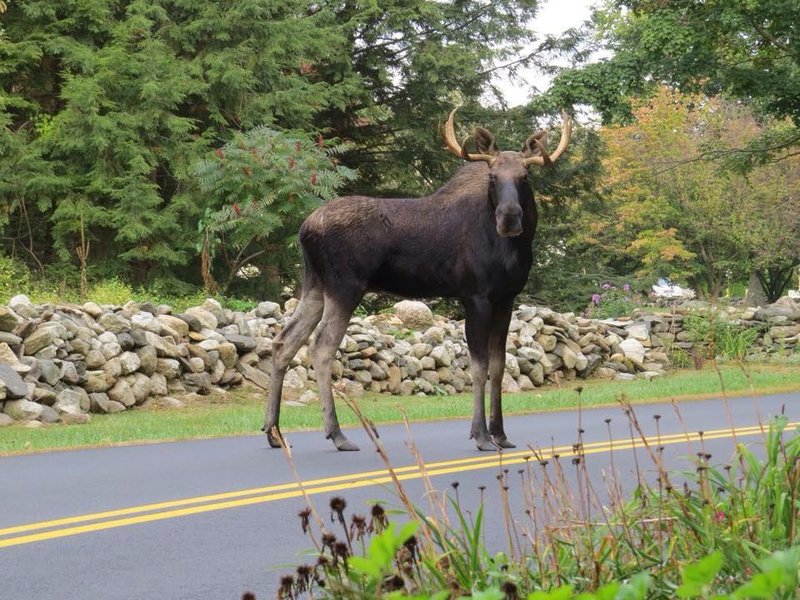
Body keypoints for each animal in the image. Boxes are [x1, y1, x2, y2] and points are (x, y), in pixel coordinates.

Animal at [263, 108, 572, 451]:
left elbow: (499, 364)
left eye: (525, 176)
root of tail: (305, 230)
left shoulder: (507, 298)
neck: (514, 248)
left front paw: (501, 434)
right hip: (344, 286)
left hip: (315, 286)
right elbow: (478, 367)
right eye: (492, 176)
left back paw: (274, 432)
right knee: (320, 347)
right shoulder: (475, 295)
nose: (509, 217)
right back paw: (337, 434)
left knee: (284, 342)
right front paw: (480, 435)